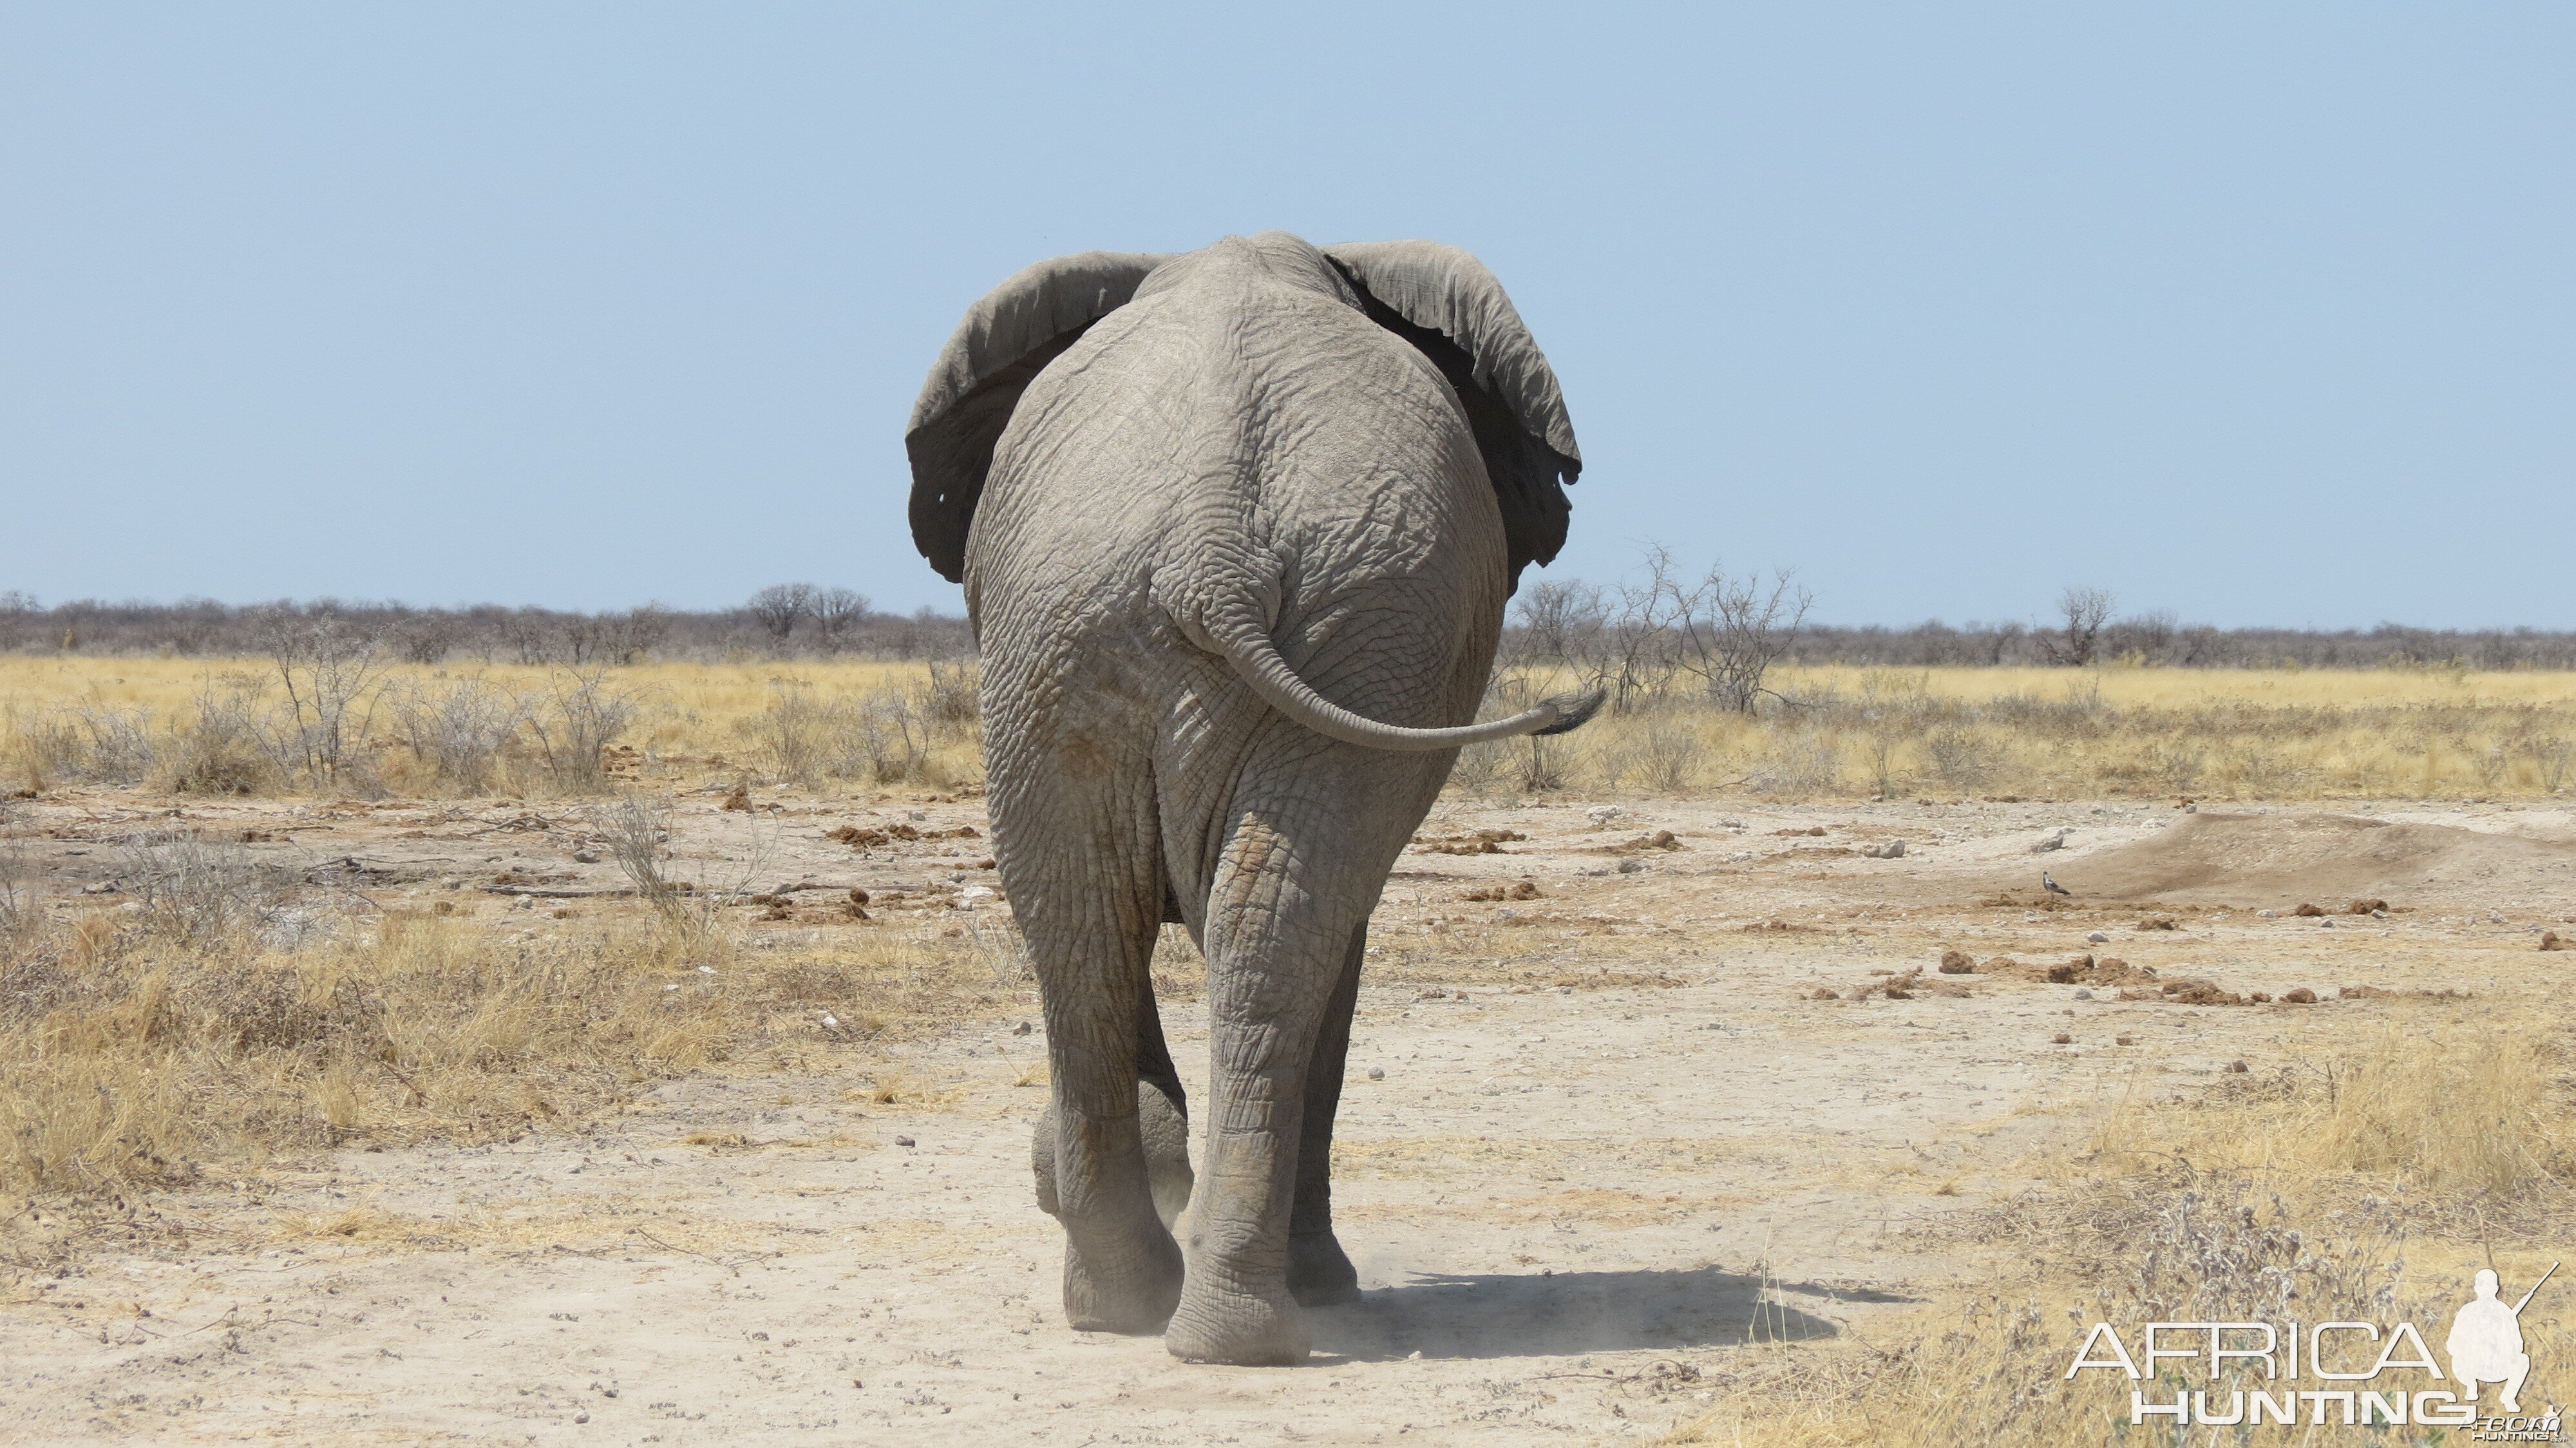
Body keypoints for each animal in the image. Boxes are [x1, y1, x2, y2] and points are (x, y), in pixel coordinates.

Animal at [902, 231, 1587, 1360]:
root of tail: (1212, 543)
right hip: (1128, 629)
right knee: (1187, 925)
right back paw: (1202, 1314)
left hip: (1191, 631)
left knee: (1123, 922)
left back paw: (1166, 1313)